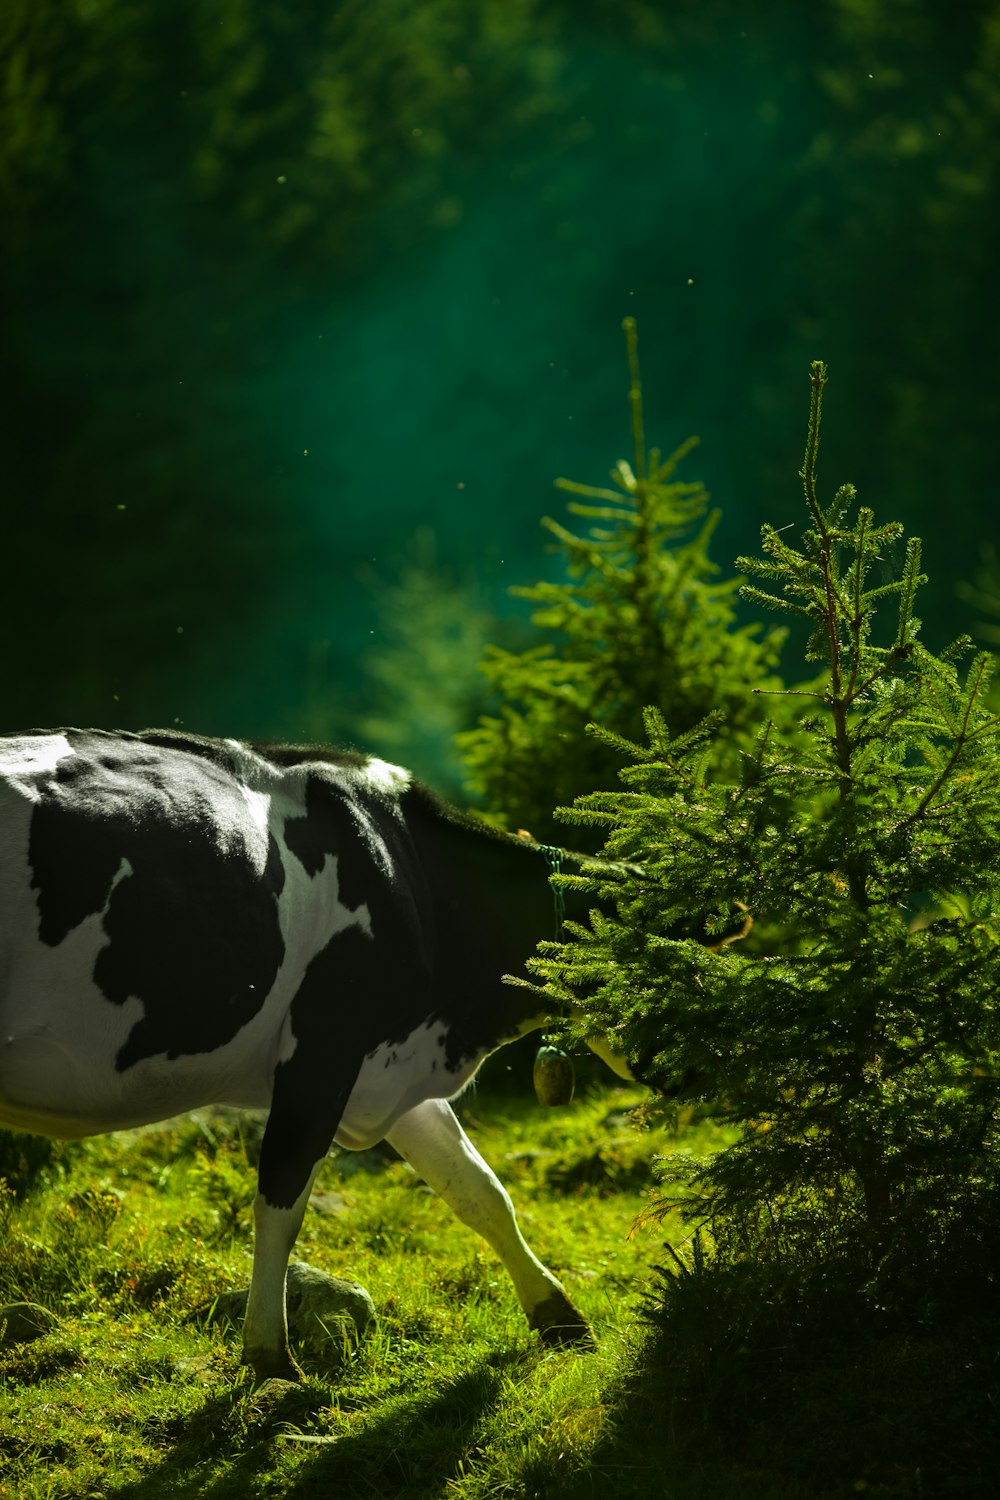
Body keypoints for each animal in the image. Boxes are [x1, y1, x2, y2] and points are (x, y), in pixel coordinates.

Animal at [0, 729, 632, 1380]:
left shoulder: (389, 1068)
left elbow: (478, 1190)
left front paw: (561, 1318)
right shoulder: (324, 1049)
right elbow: (281, 1202)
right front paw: (269, 1355)